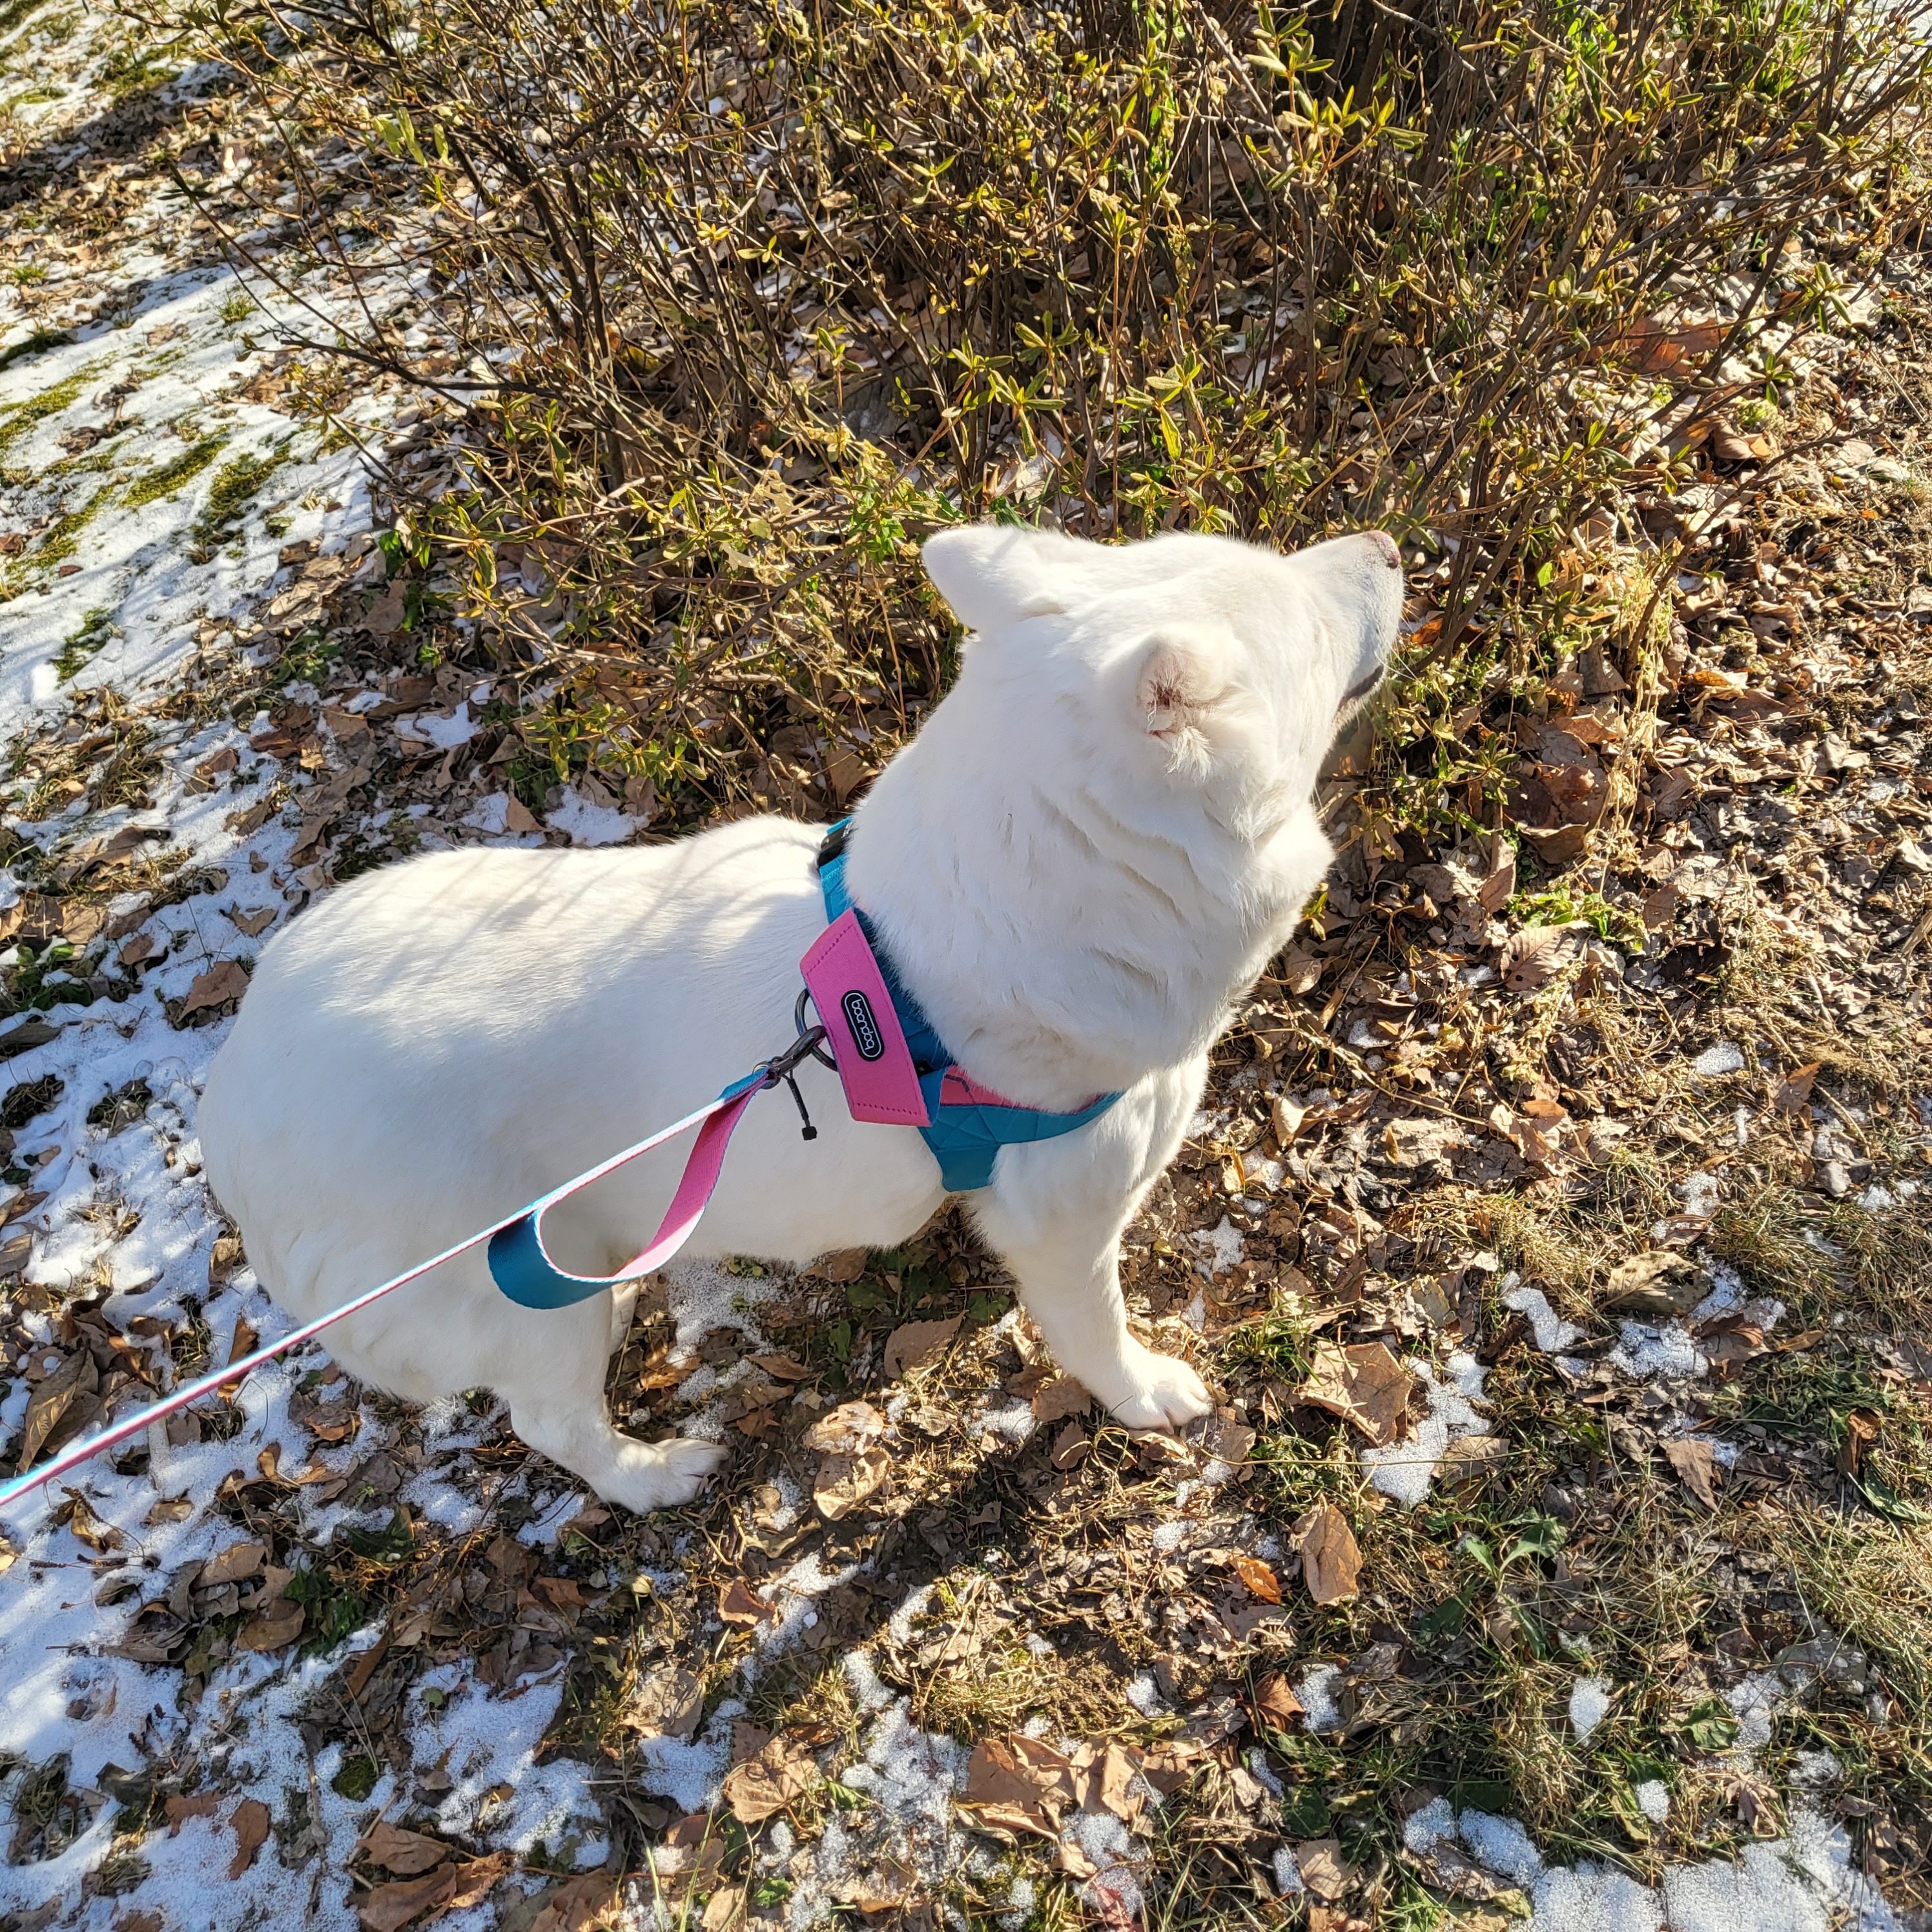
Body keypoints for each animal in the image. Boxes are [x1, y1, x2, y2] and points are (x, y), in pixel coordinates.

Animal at [198, 523, 1401, 1512]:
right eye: (1305, 621)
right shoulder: (1068, 1223)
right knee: (551, 1422)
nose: (1391, 547)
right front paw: (1143, 1392)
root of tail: (231, 1109)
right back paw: (649, 1475)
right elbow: (1093, 1333)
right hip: (517, 1315)